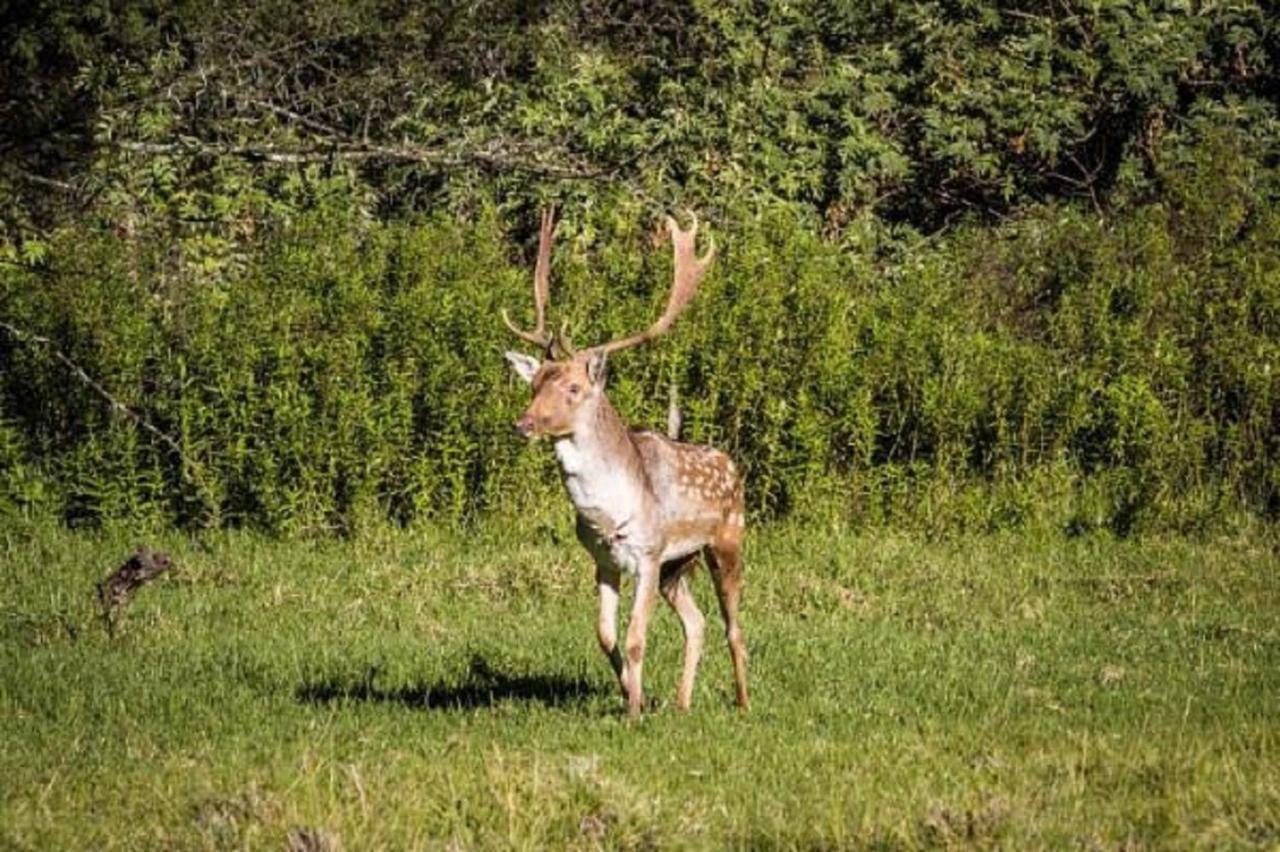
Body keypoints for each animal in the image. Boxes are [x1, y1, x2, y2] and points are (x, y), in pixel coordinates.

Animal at [501, 208, 747, 711]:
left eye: (574, 388)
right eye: (534, 385)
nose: (524, 424)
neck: (608, 513)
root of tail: (733, 466)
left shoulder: (648, 554)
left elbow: (635, 639)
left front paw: (634, 711)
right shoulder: (605, 560)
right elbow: (606, 636)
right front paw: (633, 694)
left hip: (728, 538)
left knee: (734, 627)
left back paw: (743, 702)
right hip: (678, 565)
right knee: (697, 622)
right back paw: (681, 702)